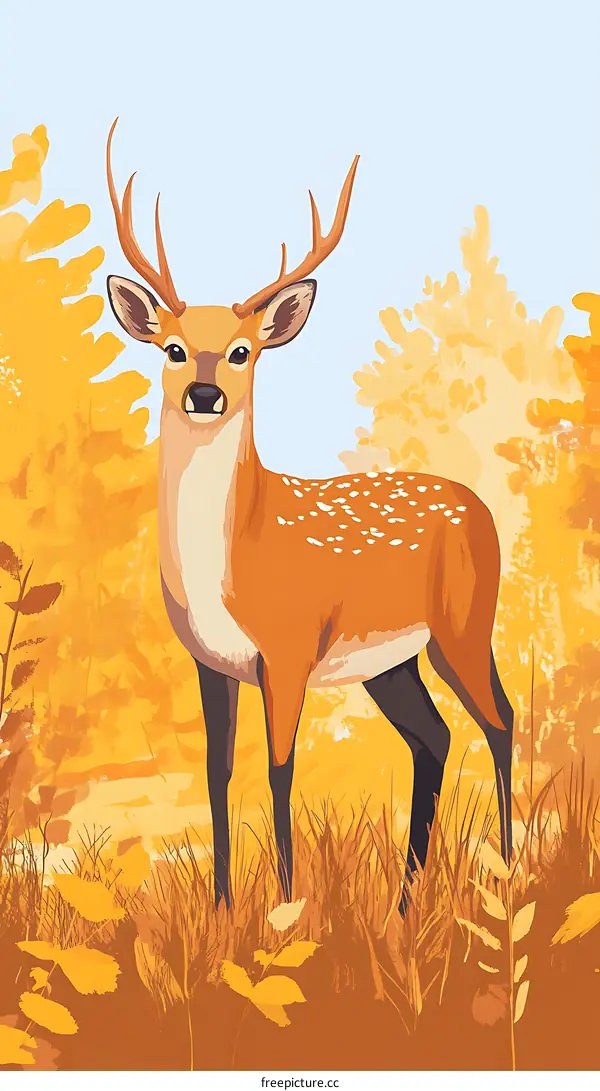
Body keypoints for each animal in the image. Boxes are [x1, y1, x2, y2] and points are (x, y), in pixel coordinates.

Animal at [105, 118, 513, 913]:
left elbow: (280, 768)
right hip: (393, 660)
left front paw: (287, 906)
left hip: (464, 622)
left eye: (242, 351)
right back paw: (404, 900)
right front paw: (223, 907)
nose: (204, 393)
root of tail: (481, 509)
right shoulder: (210, 660)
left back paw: (510, 870)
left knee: (500, 720)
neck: (236, 556)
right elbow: (218, 773)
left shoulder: (288, 648)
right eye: (172, 348)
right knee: (435, 738)